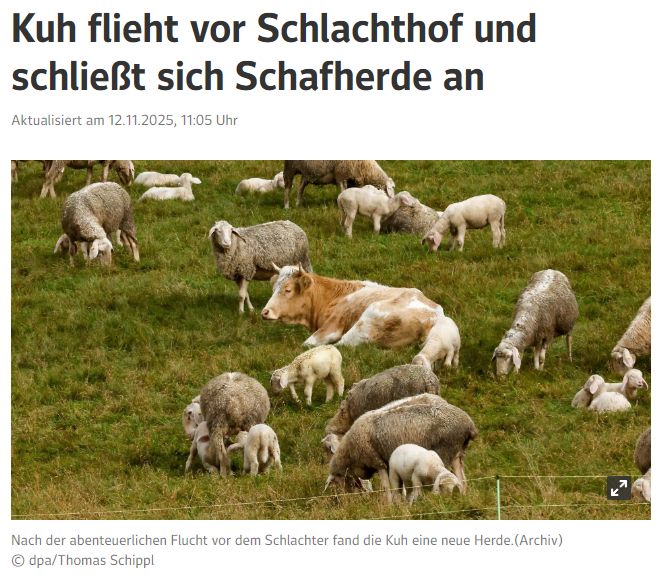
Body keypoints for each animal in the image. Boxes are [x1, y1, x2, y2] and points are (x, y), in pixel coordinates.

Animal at [261, 265, 446, 352]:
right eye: (274, 288)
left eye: (288, 290)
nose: (264, 312)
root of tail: (436, 316)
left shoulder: (332, 327)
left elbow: (307, 343)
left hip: (367, 320)